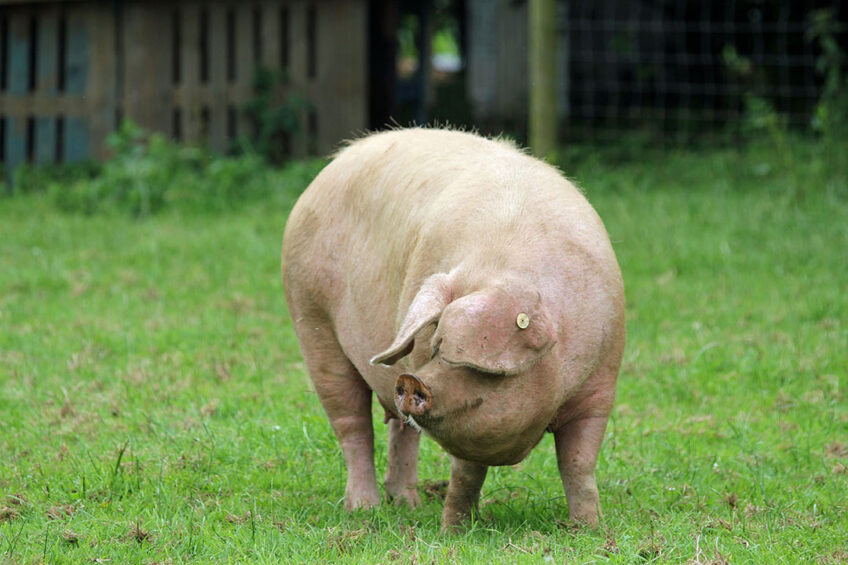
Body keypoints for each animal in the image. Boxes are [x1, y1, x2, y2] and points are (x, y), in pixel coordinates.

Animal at [284, 128, 624, 528]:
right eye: (435, 344)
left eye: (473, 364)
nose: (414, 381)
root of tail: (333, 163)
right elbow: (466, 472)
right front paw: (455, 530)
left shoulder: (600, 385)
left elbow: (578, 462)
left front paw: (588, 528)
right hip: (311, 318)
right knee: (352, 423)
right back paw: (364, 509)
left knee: (401, 430)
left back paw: (408, 504)